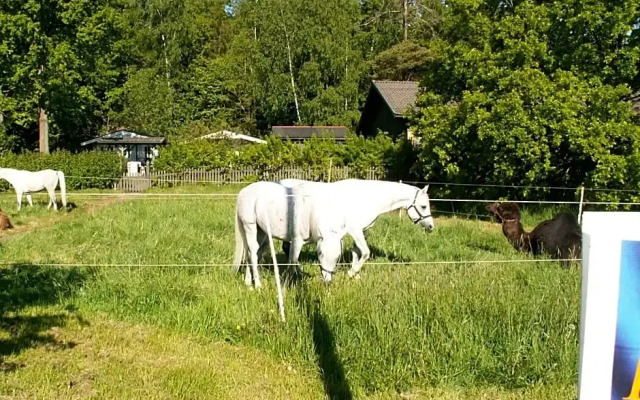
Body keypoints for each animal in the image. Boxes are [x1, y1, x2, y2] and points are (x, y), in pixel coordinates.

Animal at [232, 180, 432, 290]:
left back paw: (249, 283)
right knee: (253, 252)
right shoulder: (354, 229)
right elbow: (365, 252)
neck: (366, 197)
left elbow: (357, 253)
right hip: (251, 227)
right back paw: (257, 285)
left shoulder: (354, 231)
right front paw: (352, 273)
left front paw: (355, 276)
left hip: (264, 234)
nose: (431, 226)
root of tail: (244, 192)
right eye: (423, 206)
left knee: (253, 254)